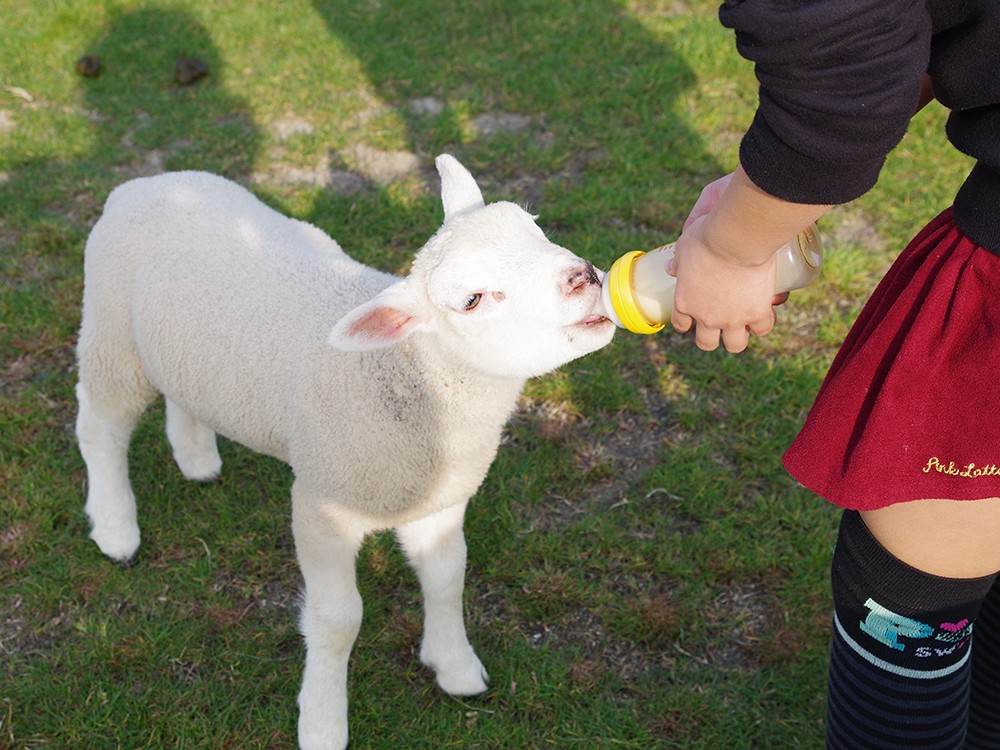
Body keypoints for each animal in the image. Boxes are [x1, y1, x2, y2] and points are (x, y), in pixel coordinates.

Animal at [74, 154, 612, 750]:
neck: (409, 377)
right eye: (472, 300)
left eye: (535, 229)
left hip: (178, 352)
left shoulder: (440, 502)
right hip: (112, 340)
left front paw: (454, 666)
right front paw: (323, 721)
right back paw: (115, 527)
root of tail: (142, 185)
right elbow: (338, 621)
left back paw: (196, 457)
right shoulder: (321, 507)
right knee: (99, 426)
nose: (584, 276)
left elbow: (448, 576)